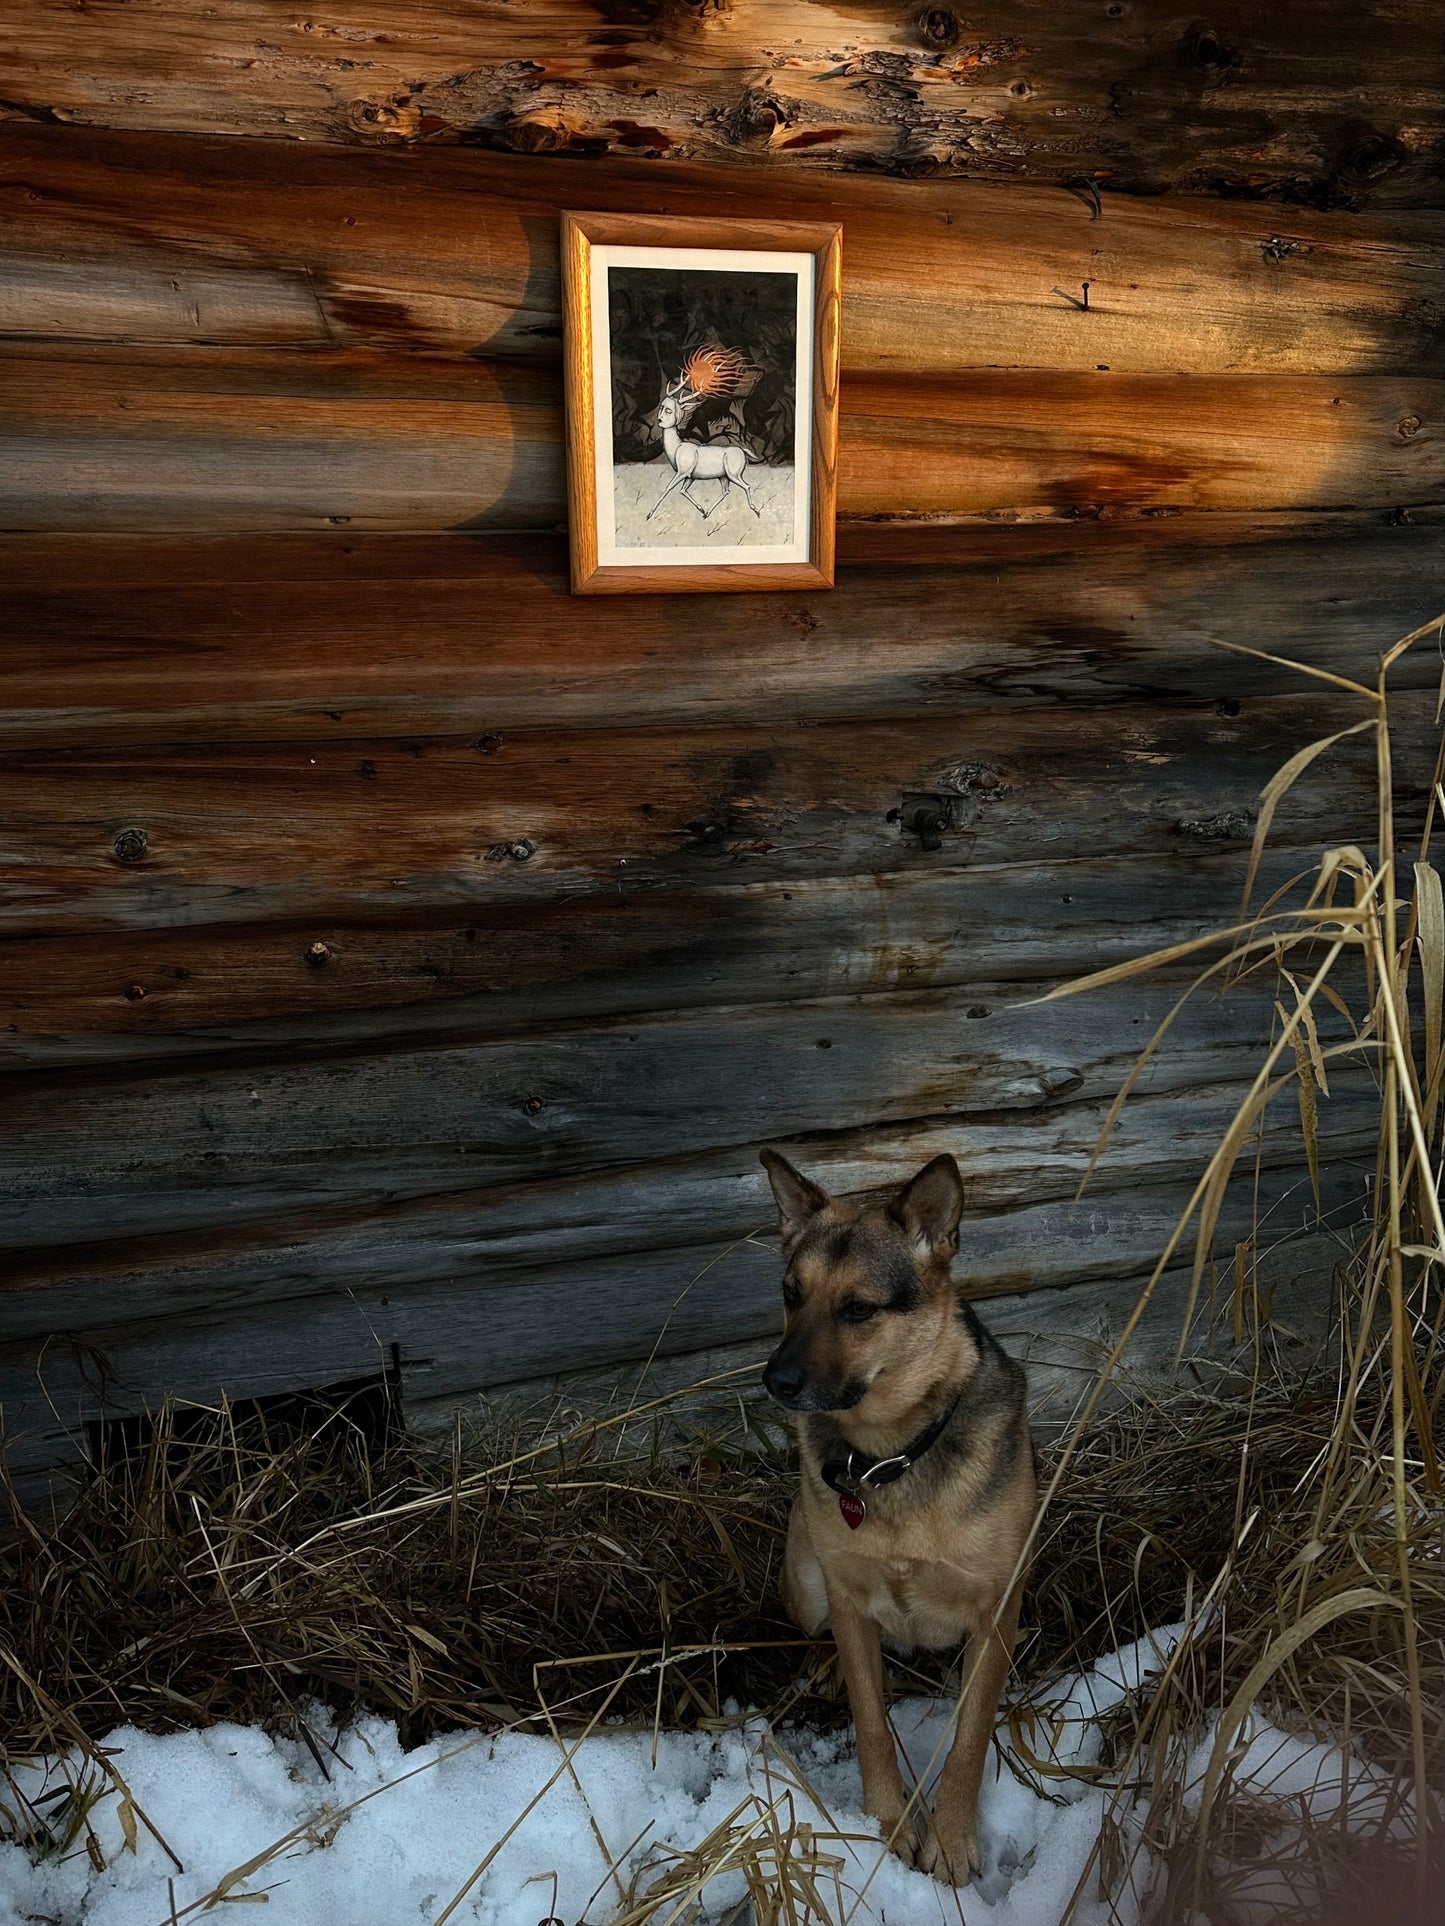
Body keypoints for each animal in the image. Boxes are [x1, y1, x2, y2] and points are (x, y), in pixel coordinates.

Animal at [647, 345, 762, 523]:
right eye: (662, 407)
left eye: (669, 410)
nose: (659, 420)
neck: (676, 448)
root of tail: (742, 450)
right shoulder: (691, 476)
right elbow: (683, 491)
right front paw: (701, 509)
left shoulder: (683, 472)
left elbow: (668, 488)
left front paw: (649, 514)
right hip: (723, 476)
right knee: (726, 491)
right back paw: (707, 513)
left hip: (733, 474)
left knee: (747, 486)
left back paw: (756, 511)